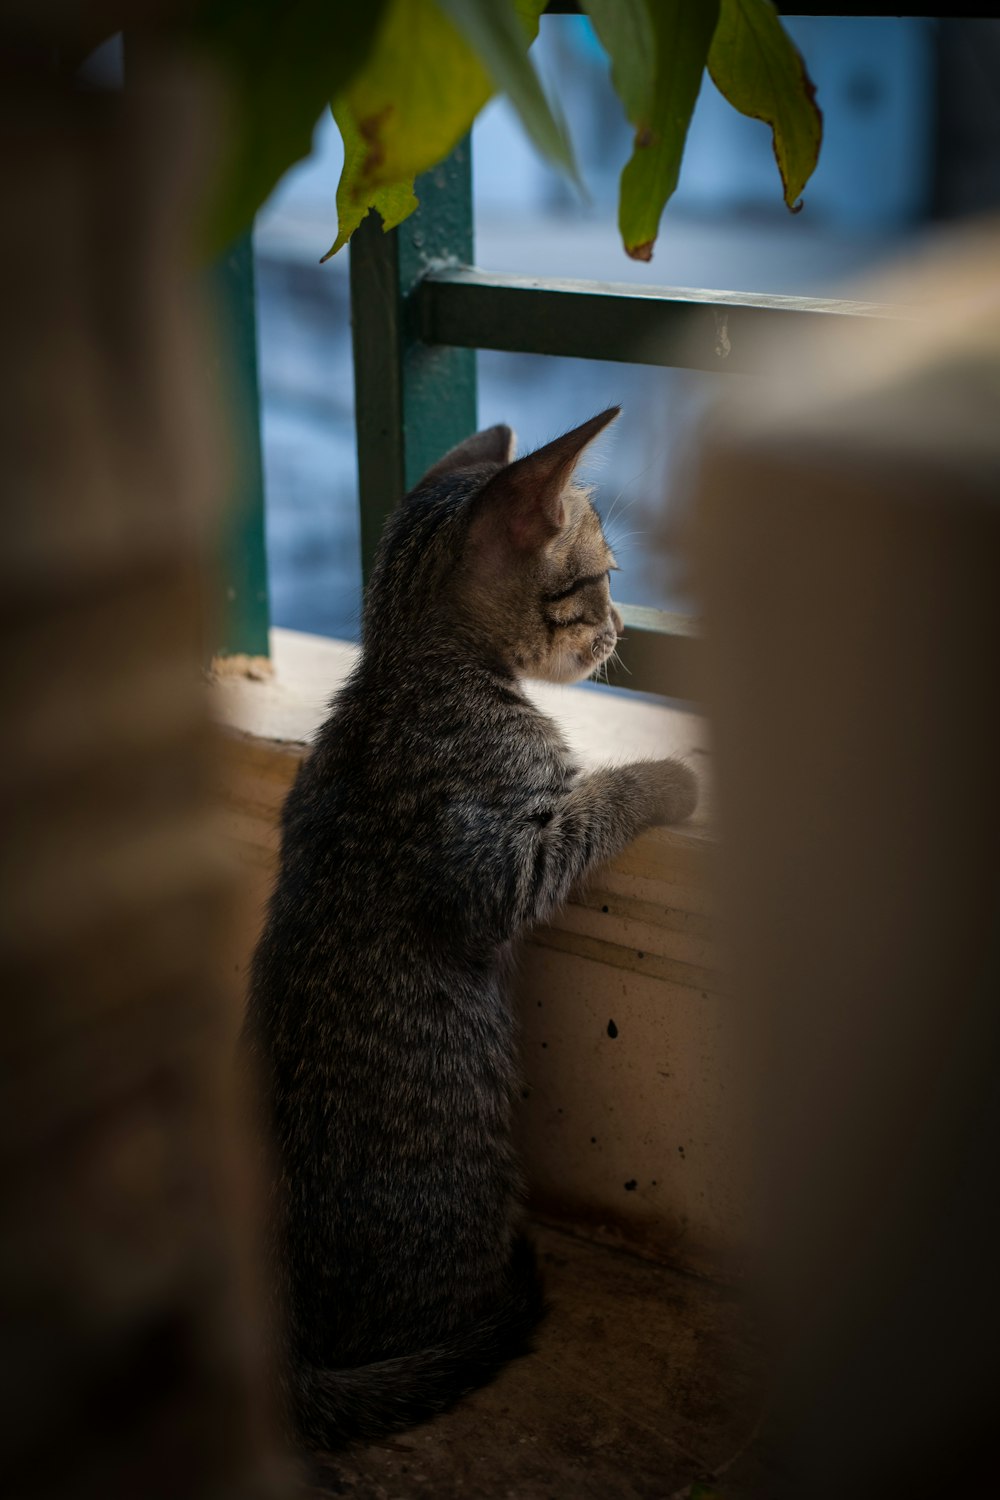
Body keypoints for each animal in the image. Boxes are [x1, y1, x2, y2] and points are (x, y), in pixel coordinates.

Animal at [244, 405, 695, 1446]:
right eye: (600, 578)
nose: (620, 626)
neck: (407, 667)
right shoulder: (496, 867)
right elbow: (593, 800)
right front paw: (664, 777)